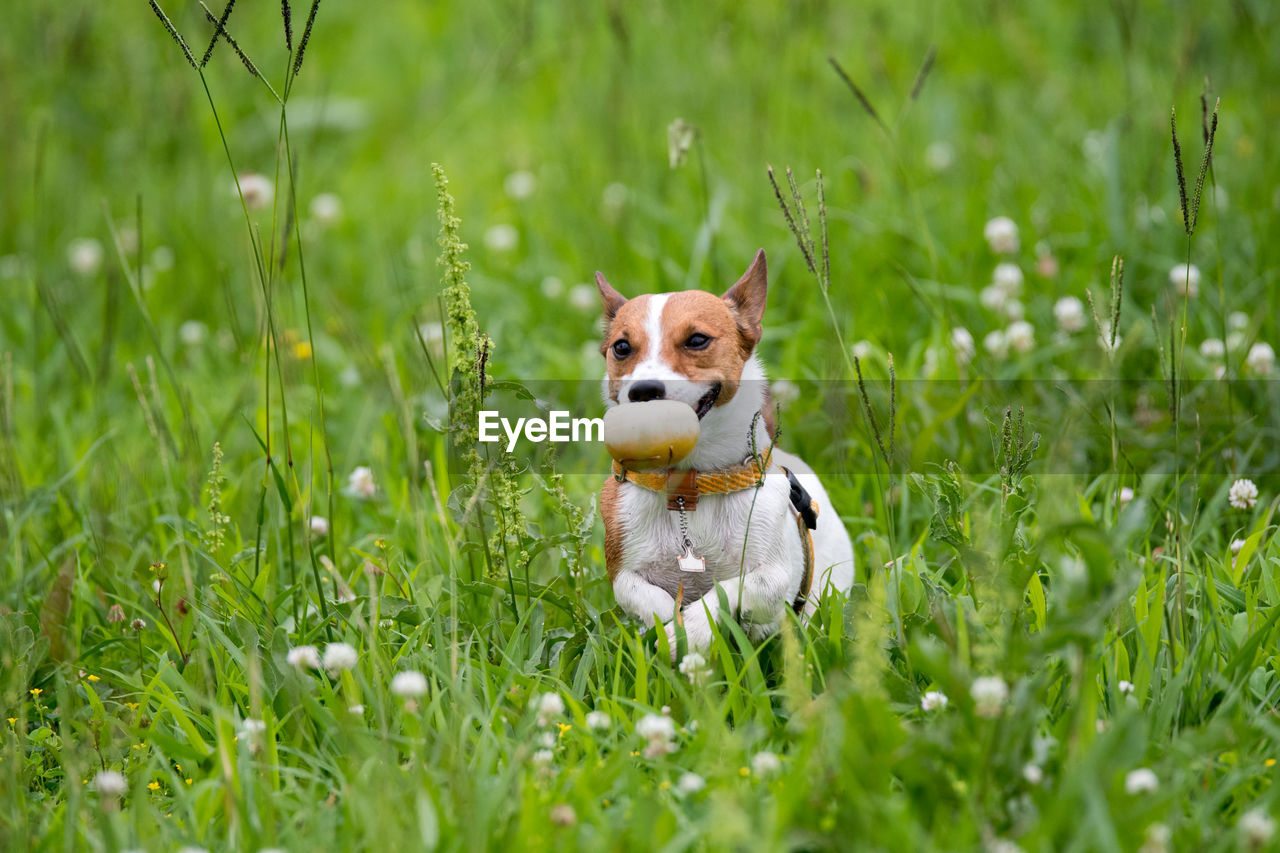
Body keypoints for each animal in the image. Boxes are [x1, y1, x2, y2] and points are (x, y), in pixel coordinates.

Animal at [593, 249, 855, 653]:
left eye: (697, 340)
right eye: (621, 347)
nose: (644, 391)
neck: (691, 486)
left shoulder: (774, 578)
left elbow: (730, 590)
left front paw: (695, 627)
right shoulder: (624, 569)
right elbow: (646, 597)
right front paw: (672, 625)